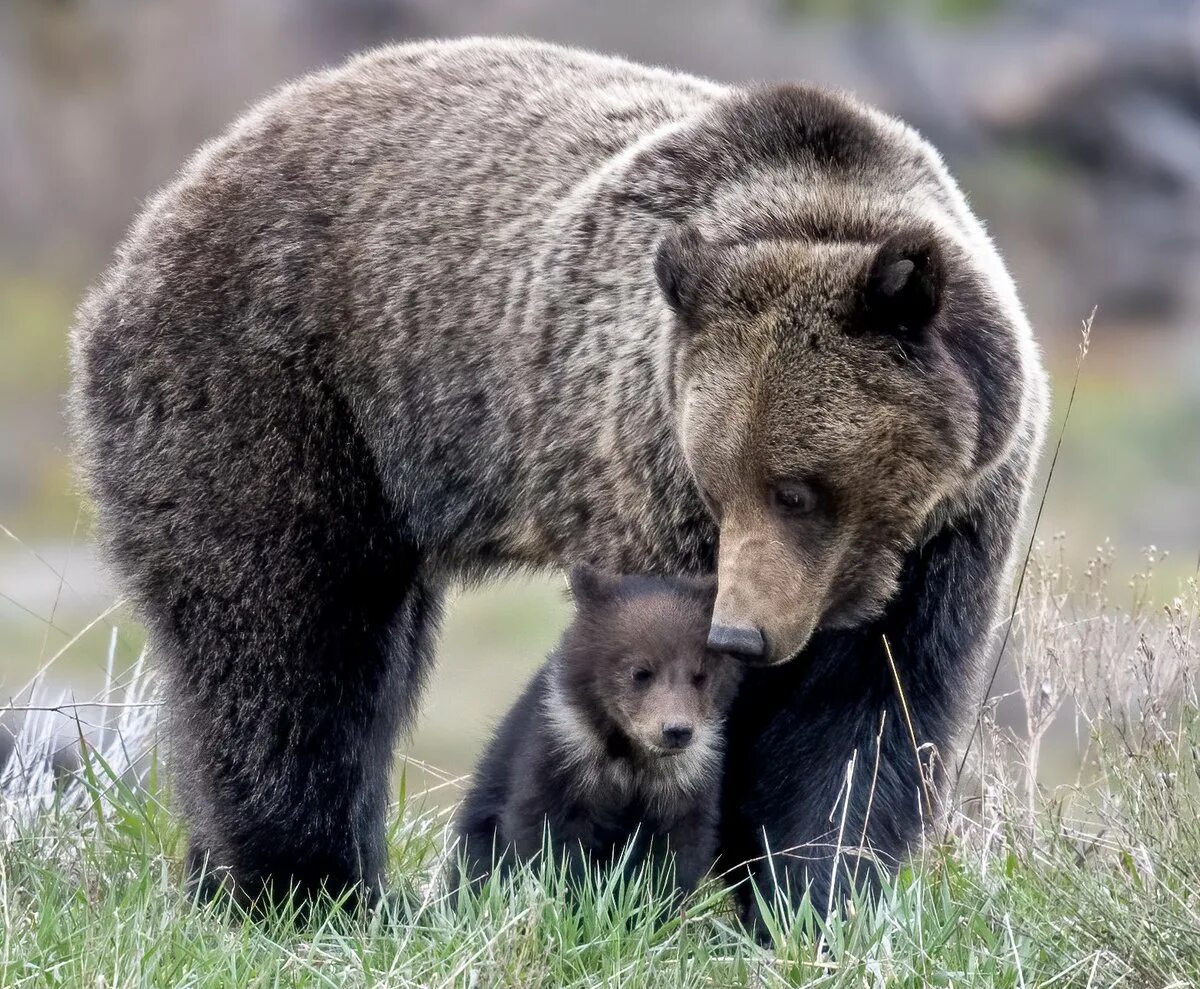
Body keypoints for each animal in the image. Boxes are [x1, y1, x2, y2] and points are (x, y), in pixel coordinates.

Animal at [451, 564, 739, 897]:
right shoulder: (564, 758)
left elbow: (675, 851)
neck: (630, 756)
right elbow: (546, 840)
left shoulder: (685, 781)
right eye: (640, 672)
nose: (676, 730)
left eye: (700, 675)